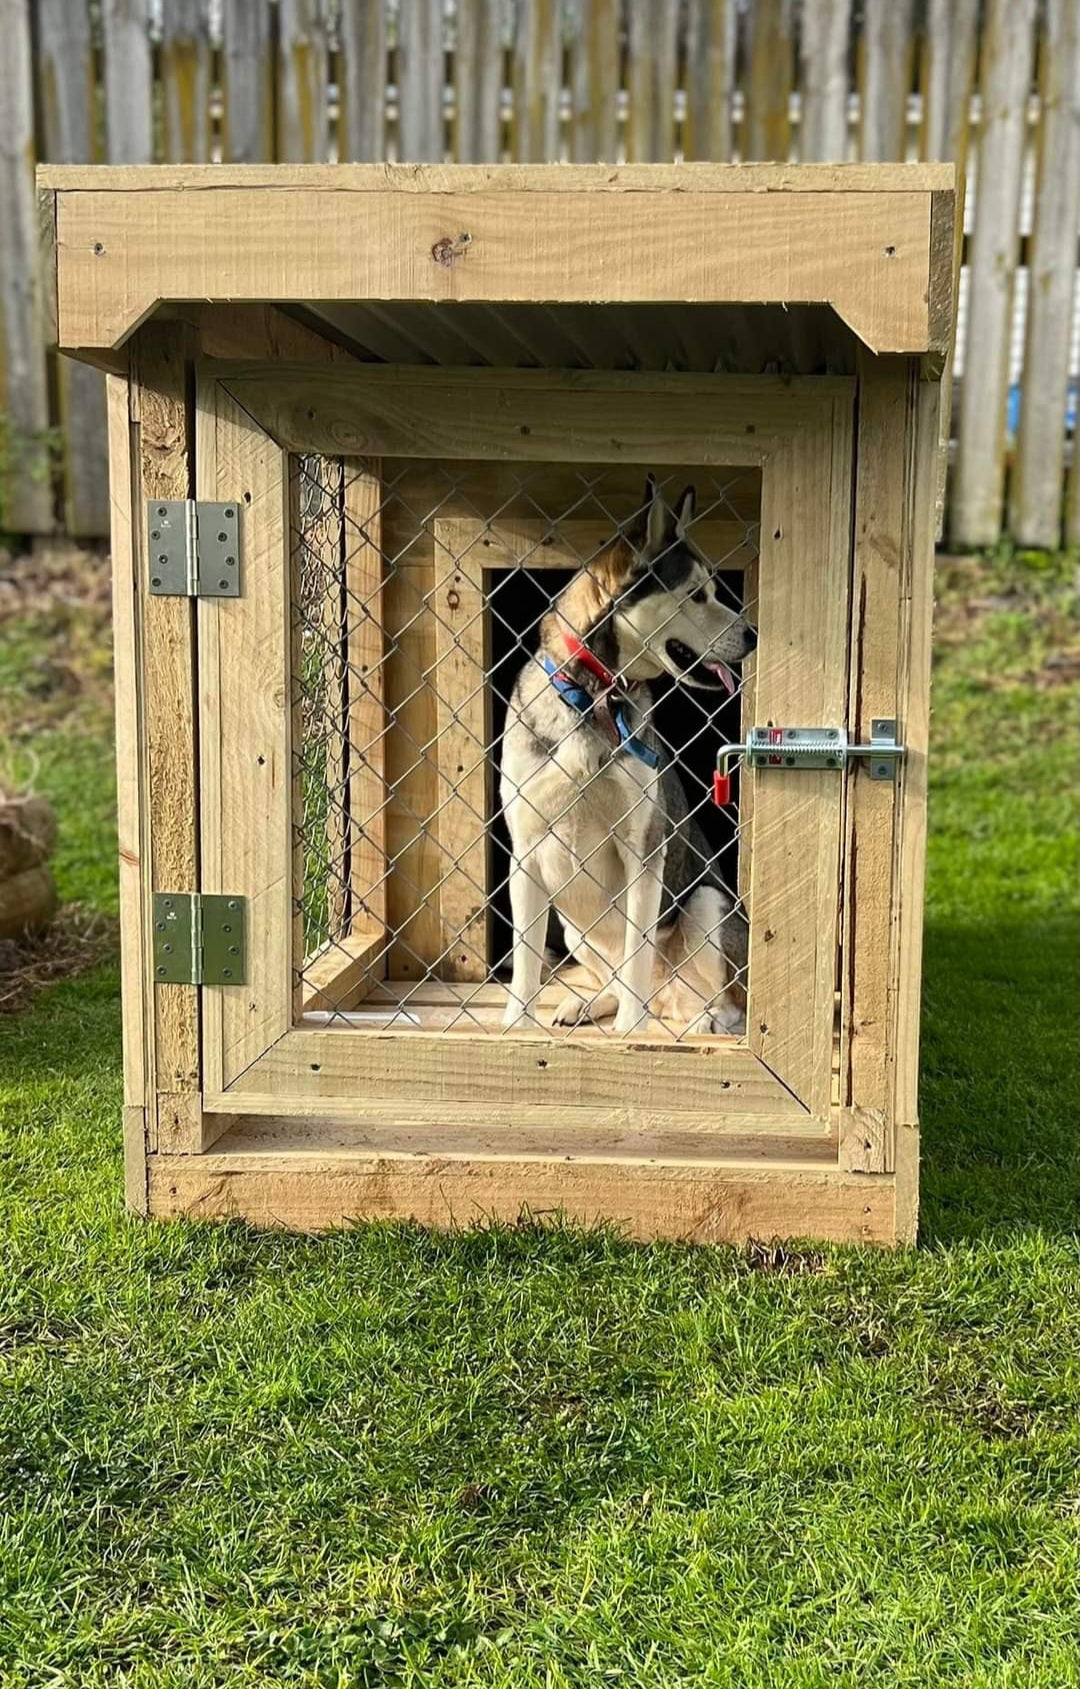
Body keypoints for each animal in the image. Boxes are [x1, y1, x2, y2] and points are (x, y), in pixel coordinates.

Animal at [503, 469, 757, 1033]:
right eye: (696, 595)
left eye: (715, 590)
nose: (754, 634)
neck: (597, 698)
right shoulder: (525, 851)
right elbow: (526, 959)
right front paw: (516, 1026)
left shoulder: (644, 849)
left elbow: (637, 953)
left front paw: (629, 1036)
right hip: (574, 928)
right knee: (618, 981)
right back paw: (588, 1003)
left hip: (707, 903)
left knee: (725, 1001)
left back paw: (702, 1021)